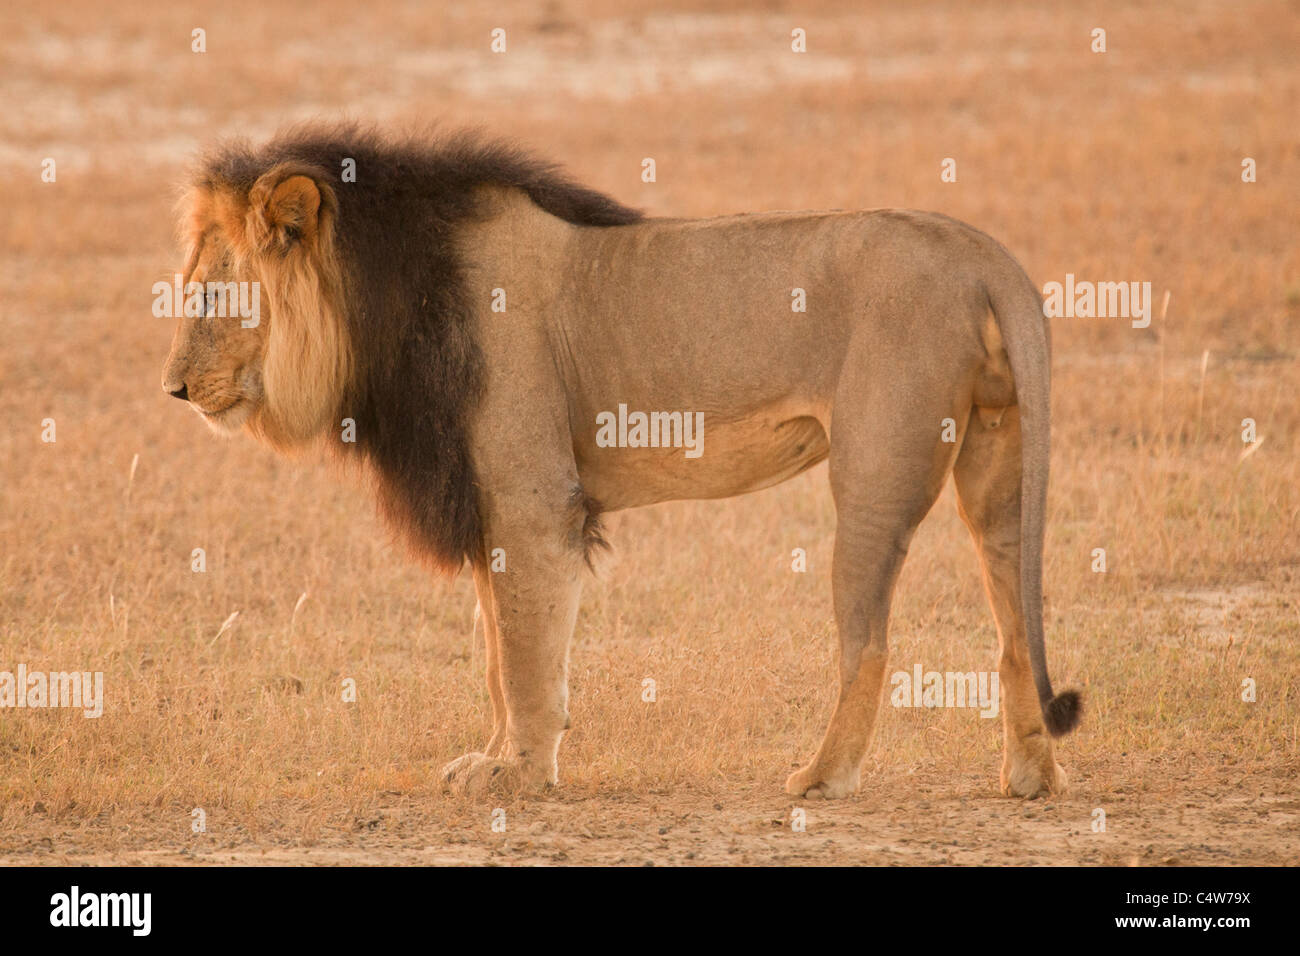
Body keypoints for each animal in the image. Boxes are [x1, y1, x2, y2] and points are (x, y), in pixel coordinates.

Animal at [159, 125, 1076, 801]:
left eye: (212, 294)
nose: (172, 388)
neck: (385, 299)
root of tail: (980, 252)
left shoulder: (531, 499)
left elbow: (524, 654)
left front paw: (521, 774)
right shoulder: (491, 504)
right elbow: (496, 650)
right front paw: (491, 758)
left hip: (873, 476)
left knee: (871, 641)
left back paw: (822, 778)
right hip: (997, 459)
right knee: (1011, 619)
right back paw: (1030, 774)